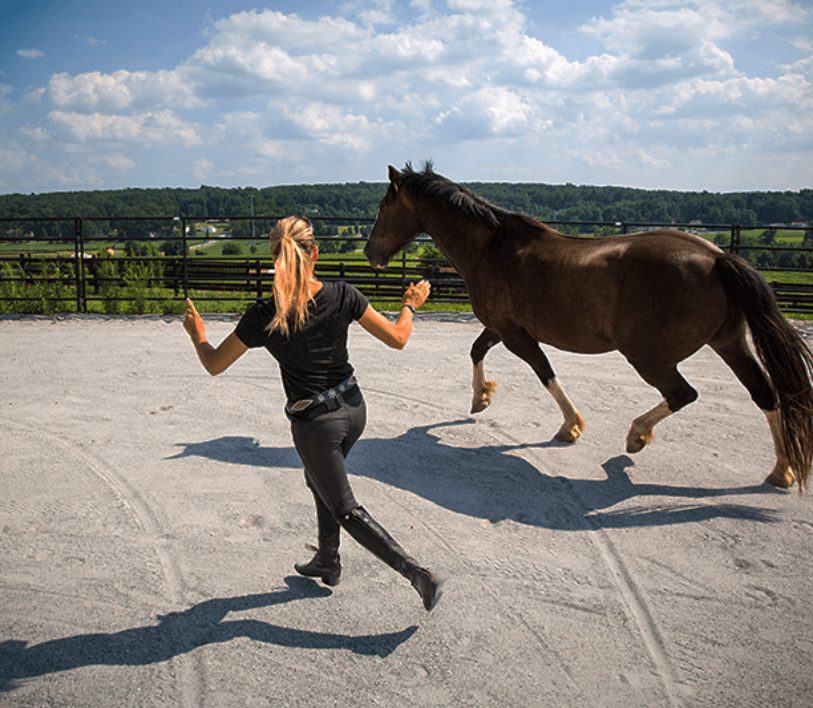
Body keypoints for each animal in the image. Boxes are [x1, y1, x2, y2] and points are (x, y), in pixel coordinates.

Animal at [364, 164, 812, 492]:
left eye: (384, 207)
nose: (371, 254)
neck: (489, 248)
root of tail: (717, 257)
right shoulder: (500, 327)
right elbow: (476, 351)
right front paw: (481, 399)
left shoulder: (515, 335)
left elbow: (545, 373)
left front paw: (571, 427)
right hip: (730, 342)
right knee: (765, 395)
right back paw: (782, 471)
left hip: (649, 356)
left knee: (683, 394)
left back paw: (636, 437)